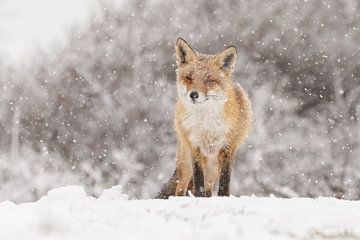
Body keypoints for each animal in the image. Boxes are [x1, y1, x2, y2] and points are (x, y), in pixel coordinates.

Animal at [156, 38, 252, 198]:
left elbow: (225, 180)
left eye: (209, 80)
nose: (193, 94)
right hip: (186, 164)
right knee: (181, 188)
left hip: (213, 168)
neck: (207, 125)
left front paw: (223, 197)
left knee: (208, 187)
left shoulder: (228, 147)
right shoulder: (195, 146)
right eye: (189, 77)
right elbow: (198, 178)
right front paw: (198, 197)